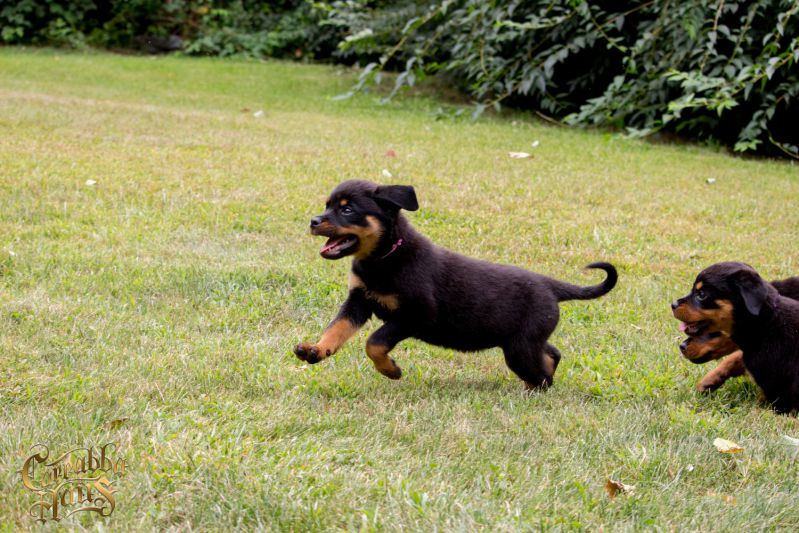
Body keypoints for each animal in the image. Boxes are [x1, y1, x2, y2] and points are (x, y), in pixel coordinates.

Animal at [294, 181, 620, 388]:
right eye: (328, 205)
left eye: (347, 210)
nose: (313, 221)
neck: (384, 257)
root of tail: (550, 285)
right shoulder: (359, 300)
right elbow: (337, 328)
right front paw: (317, 349)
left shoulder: (417, 313)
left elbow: (374, 342)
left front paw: (391, 370)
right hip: (523, 340)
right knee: (552, 354)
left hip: (520, 347)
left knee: (542, 377)